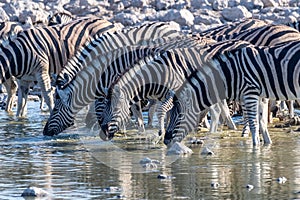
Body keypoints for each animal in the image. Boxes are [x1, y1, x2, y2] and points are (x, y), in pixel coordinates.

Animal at [164, 39, 300, 145]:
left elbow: (254, 124)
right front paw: (267, 145)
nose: (165, 141)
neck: (231, 74)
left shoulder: (250, 92)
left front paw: (255, 150)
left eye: (180, 116)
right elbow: (262, 123)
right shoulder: (261, 96)